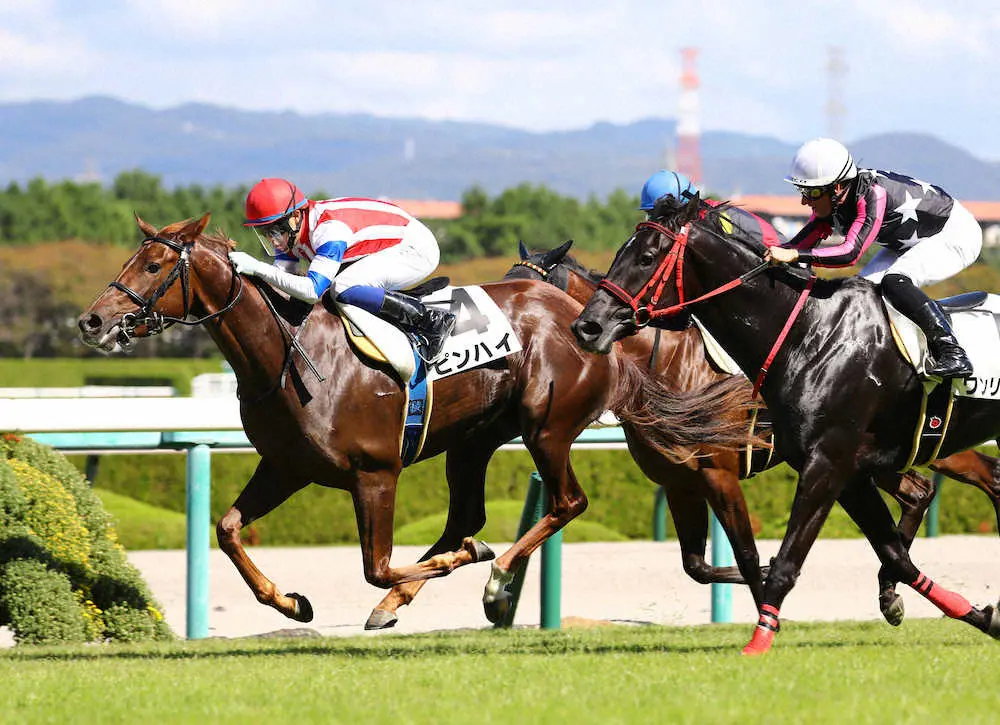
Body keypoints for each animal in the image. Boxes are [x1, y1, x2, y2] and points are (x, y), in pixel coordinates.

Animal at [76, 215, 756, 628]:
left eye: (154, 266)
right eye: (134, 258)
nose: (92, 320)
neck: (291, 355)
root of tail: (587, 321)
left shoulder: (375, 472)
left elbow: (376, 565)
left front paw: (464, 566)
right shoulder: (288, 466)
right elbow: (227, 529)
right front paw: (290, 601)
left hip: (546, 426)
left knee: (566, 503)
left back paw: (491, 571)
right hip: (474, 441)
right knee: (468, 514)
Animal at [572, 195, 1000, 652]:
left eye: (646, 257)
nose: (587, 327)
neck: (807, 334)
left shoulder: (813, 464)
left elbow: (772, 558)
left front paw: (760, 638)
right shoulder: (836, 472)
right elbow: (894, 556)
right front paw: (976, 616)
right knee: (945, 489)